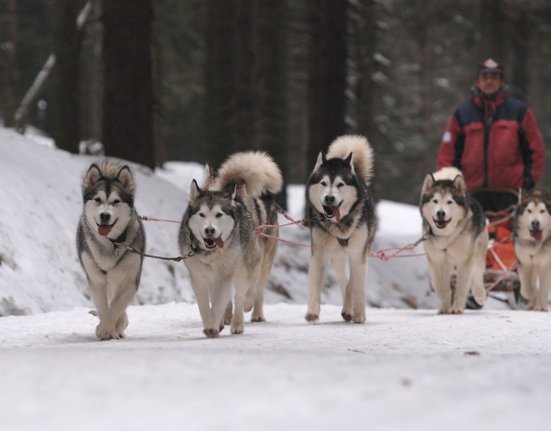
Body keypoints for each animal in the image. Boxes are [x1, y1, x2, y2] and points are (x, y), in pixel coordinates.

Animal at [78, 162, 147, 340]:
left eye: (116, 201)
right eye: (98, 200)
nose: (104, 215)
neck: (112, 243)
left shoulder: (130, 279)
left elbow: (116, 306)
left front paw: (107, 328)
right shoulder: (96, 279)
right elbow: (104, 306)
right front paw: (105, 328)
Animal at [179, 152, 282, 338]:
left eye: (219, 214)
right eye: (202, 214)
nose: (209, 230)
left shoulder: (233, 270)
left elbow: (238, 295)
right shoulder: (202, 277)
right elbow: (210, 304)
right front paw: (215, 322)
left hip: (257, 264)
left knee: (251, 292)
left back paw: (245, 319)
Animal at [304, 136, 378, 324]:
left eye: (340, 184)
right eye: (323, 183)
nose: (329, 198)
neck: (339, 224)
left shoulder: (358, 254)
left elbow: (358, 286)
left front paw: (359, 314)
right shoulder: (319, 253)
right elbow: (314, 284)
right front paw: (312, 312)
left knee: (351, 282)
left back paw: (351, 309)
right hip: (336, 256)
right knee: (344, 280)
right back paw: (347, 308)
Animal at [420, 168, 490, 314]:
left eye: (449, 202)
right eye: (435, 201)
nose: (441, 213)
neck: (446, 237)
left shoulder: (465, 260)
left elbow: (462, 287)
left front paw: (457, 307)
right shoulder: (437, 262)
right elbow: (442, 289)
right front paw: (445, 307)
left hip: (478, 253)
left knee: (477, 276)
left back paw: (479, 295)